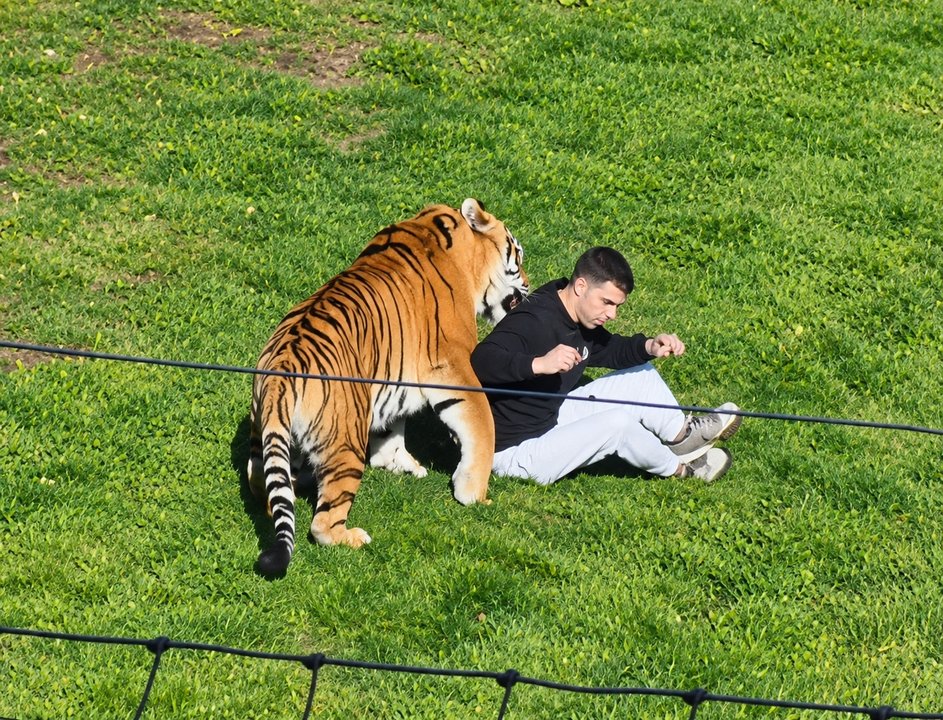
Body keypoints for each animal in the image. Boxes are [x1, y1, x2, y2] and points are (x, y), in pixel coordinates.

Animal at [247, 199, 529, 577]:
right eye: (519, 256)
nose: (529, 284)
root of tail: (282, 369)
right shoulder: (453, 364)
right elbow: (481, 424)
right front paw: (475, 493)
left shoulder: (392, 379)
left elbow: (393, 428)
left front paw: (402, 463)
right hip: (346, 442)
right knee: (322, 523)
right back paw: (353, 537)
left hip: (265, 433)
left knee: (260, 480)